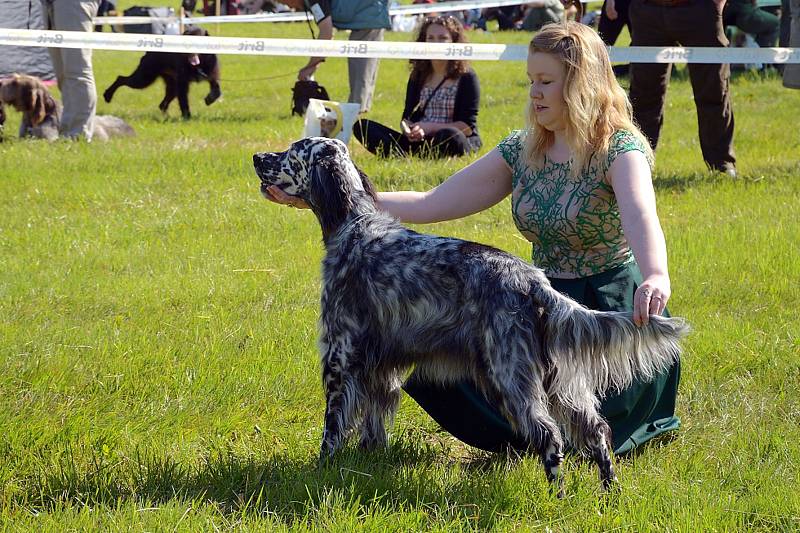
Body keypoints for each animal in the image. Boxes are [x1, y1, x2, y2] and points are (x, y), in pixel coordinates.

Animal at [255, 136, 688, 490]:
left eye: (291, 153)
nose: (258, 157)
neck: (354, 225)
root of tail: (534, 281)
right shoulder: (382, 366)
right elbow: (372, 427)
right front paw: (367, 464)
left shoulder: (339, 355)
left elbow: (333, 427)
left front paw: (321, 469)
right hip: (559, 380)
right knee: (596, 429)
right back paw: (609, 493)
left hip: (508, 375)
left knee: (550, 436)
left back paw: (557, 496)